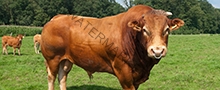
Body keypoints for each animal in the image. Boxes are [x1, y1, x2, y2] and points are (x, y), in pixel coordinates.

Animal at [40, 5, 184, 90]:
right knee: (51, 78)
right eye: (144, 30)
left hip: (66, 60)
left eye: (166, 30)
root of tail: (57, 17)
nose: (157, 50)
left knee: (62, 76)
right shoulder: (124, 72)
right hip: (52, 58)